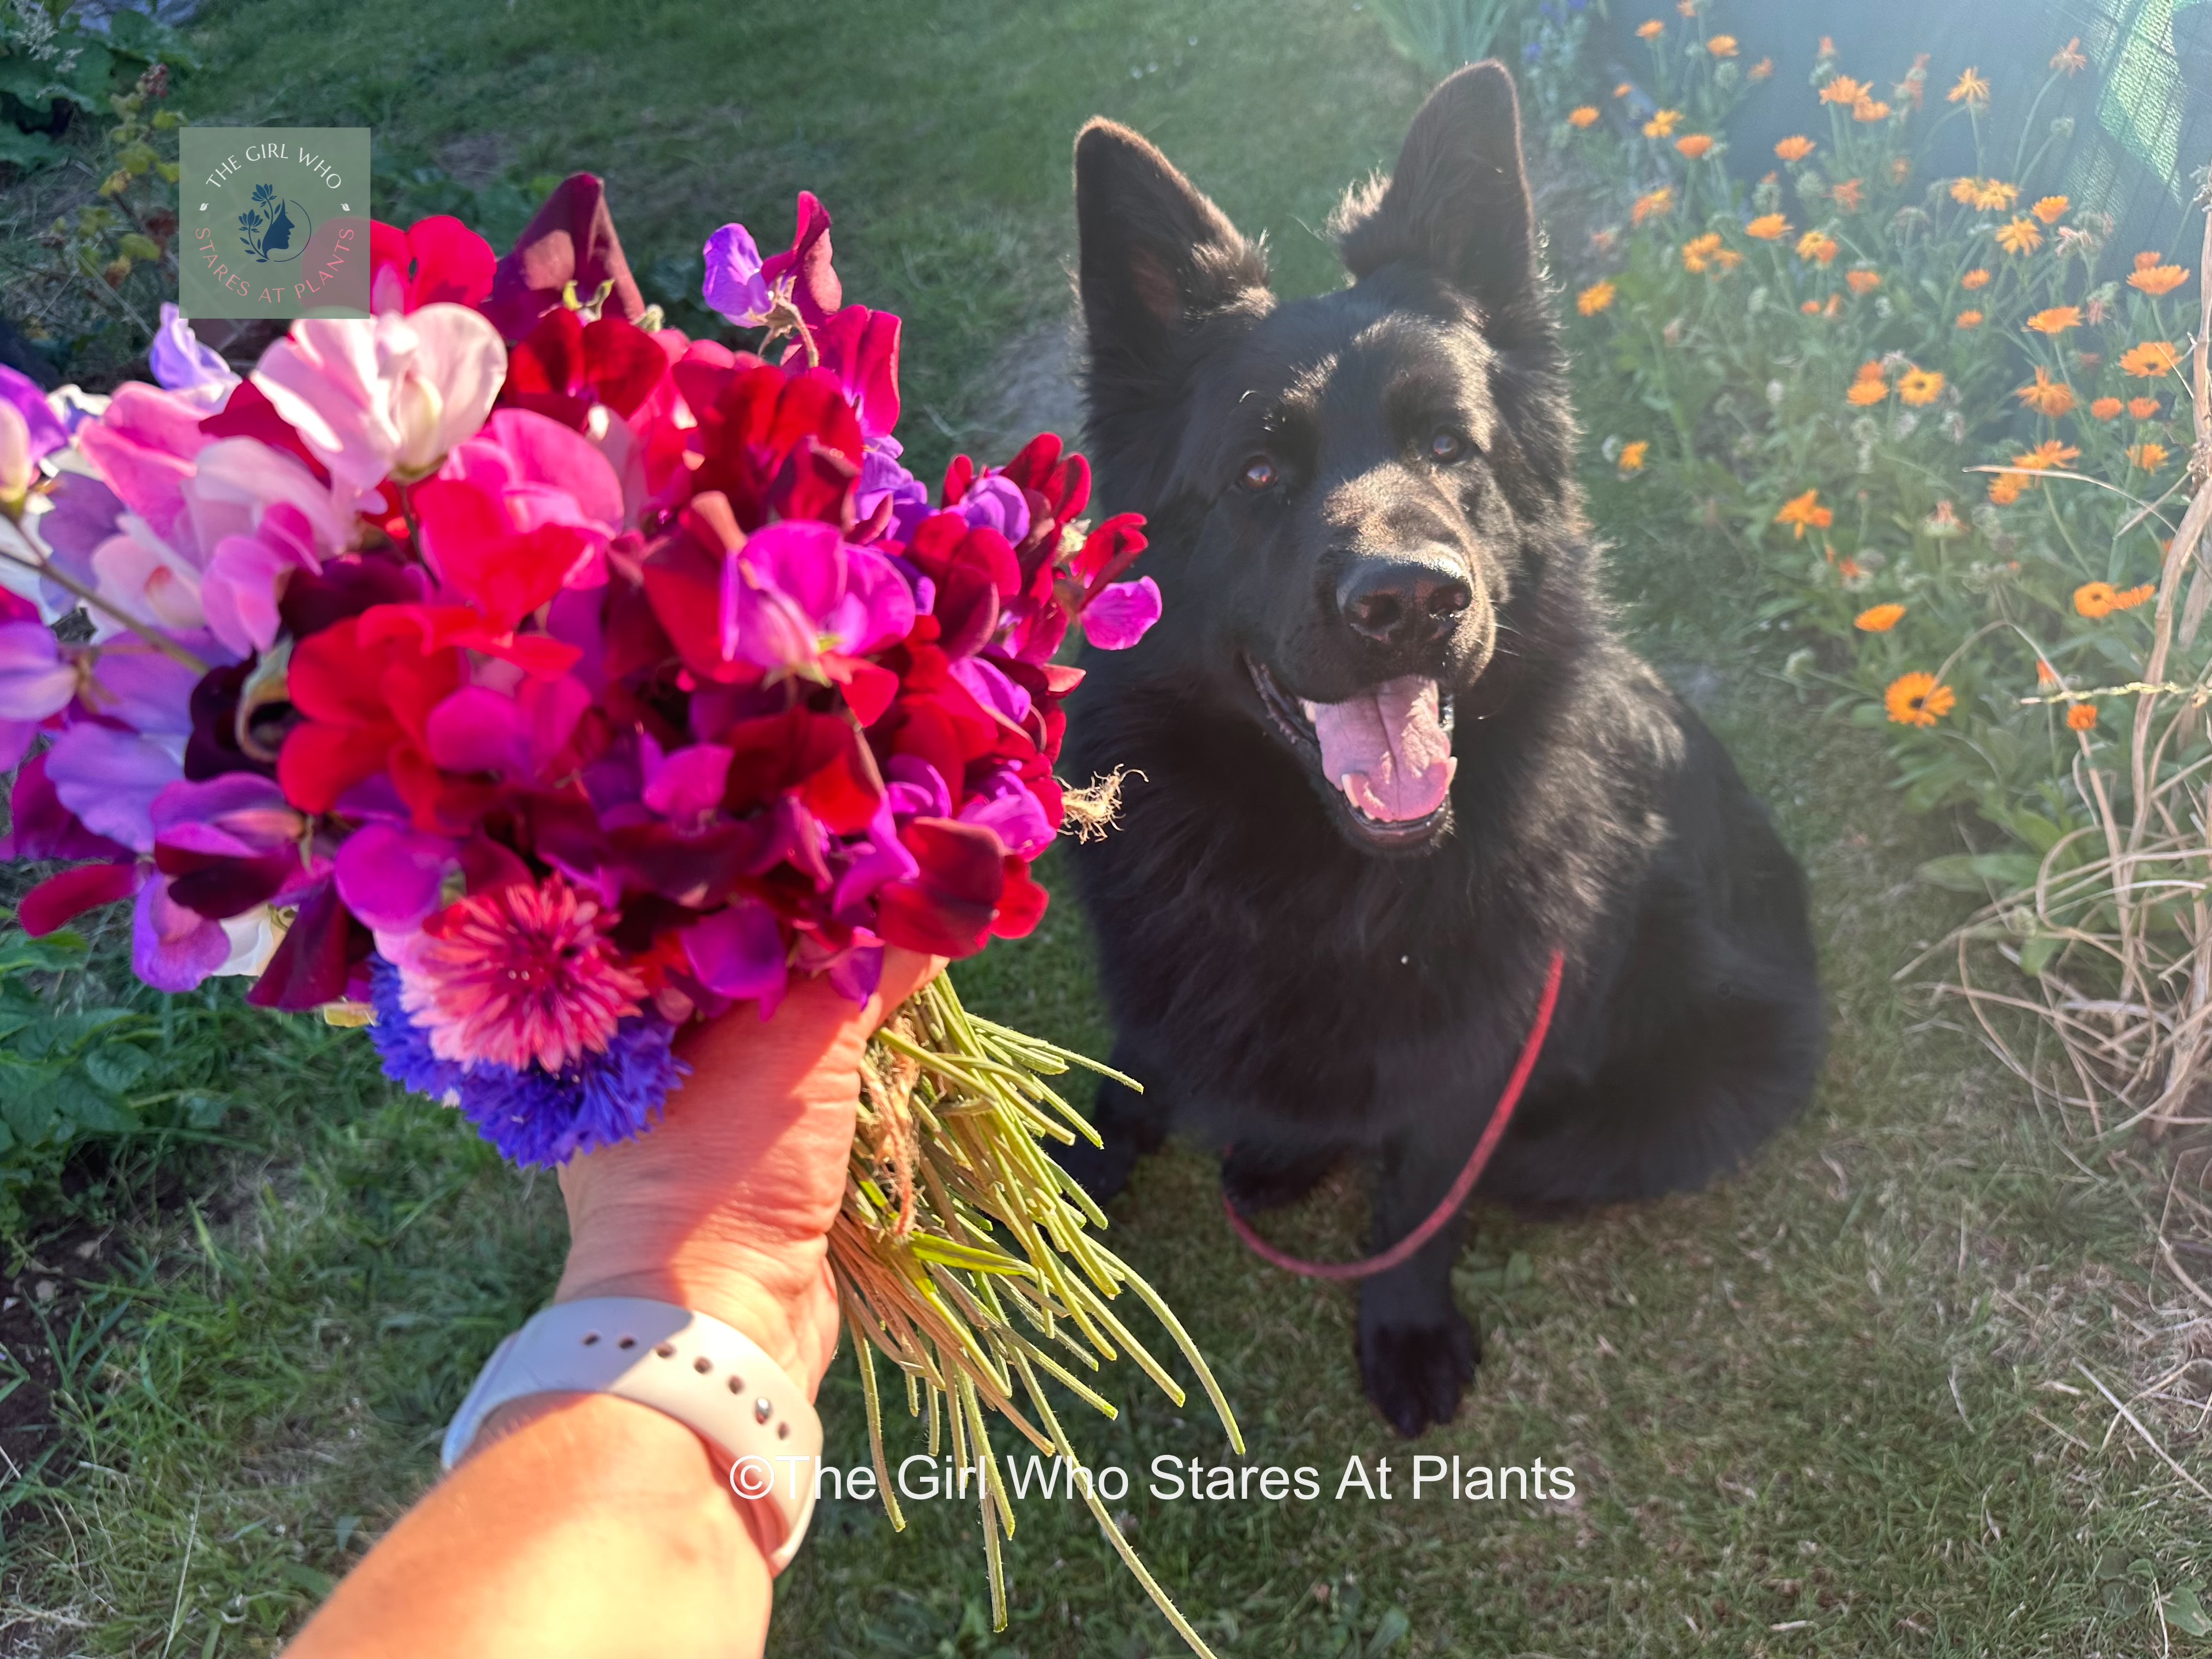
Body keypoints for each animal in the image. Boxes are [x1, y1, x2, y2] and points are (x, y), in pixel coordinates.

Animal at [1062, 65, 1822, 1442]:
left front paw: (1404, 1323)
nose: (1411, 598)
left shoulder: (1485, 1058)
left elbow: (1418, 1194)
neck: (1323, 879)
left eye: (1452, 449)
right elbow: (1133, 1083)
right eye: (1259, 471)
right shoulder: (1156, 984)